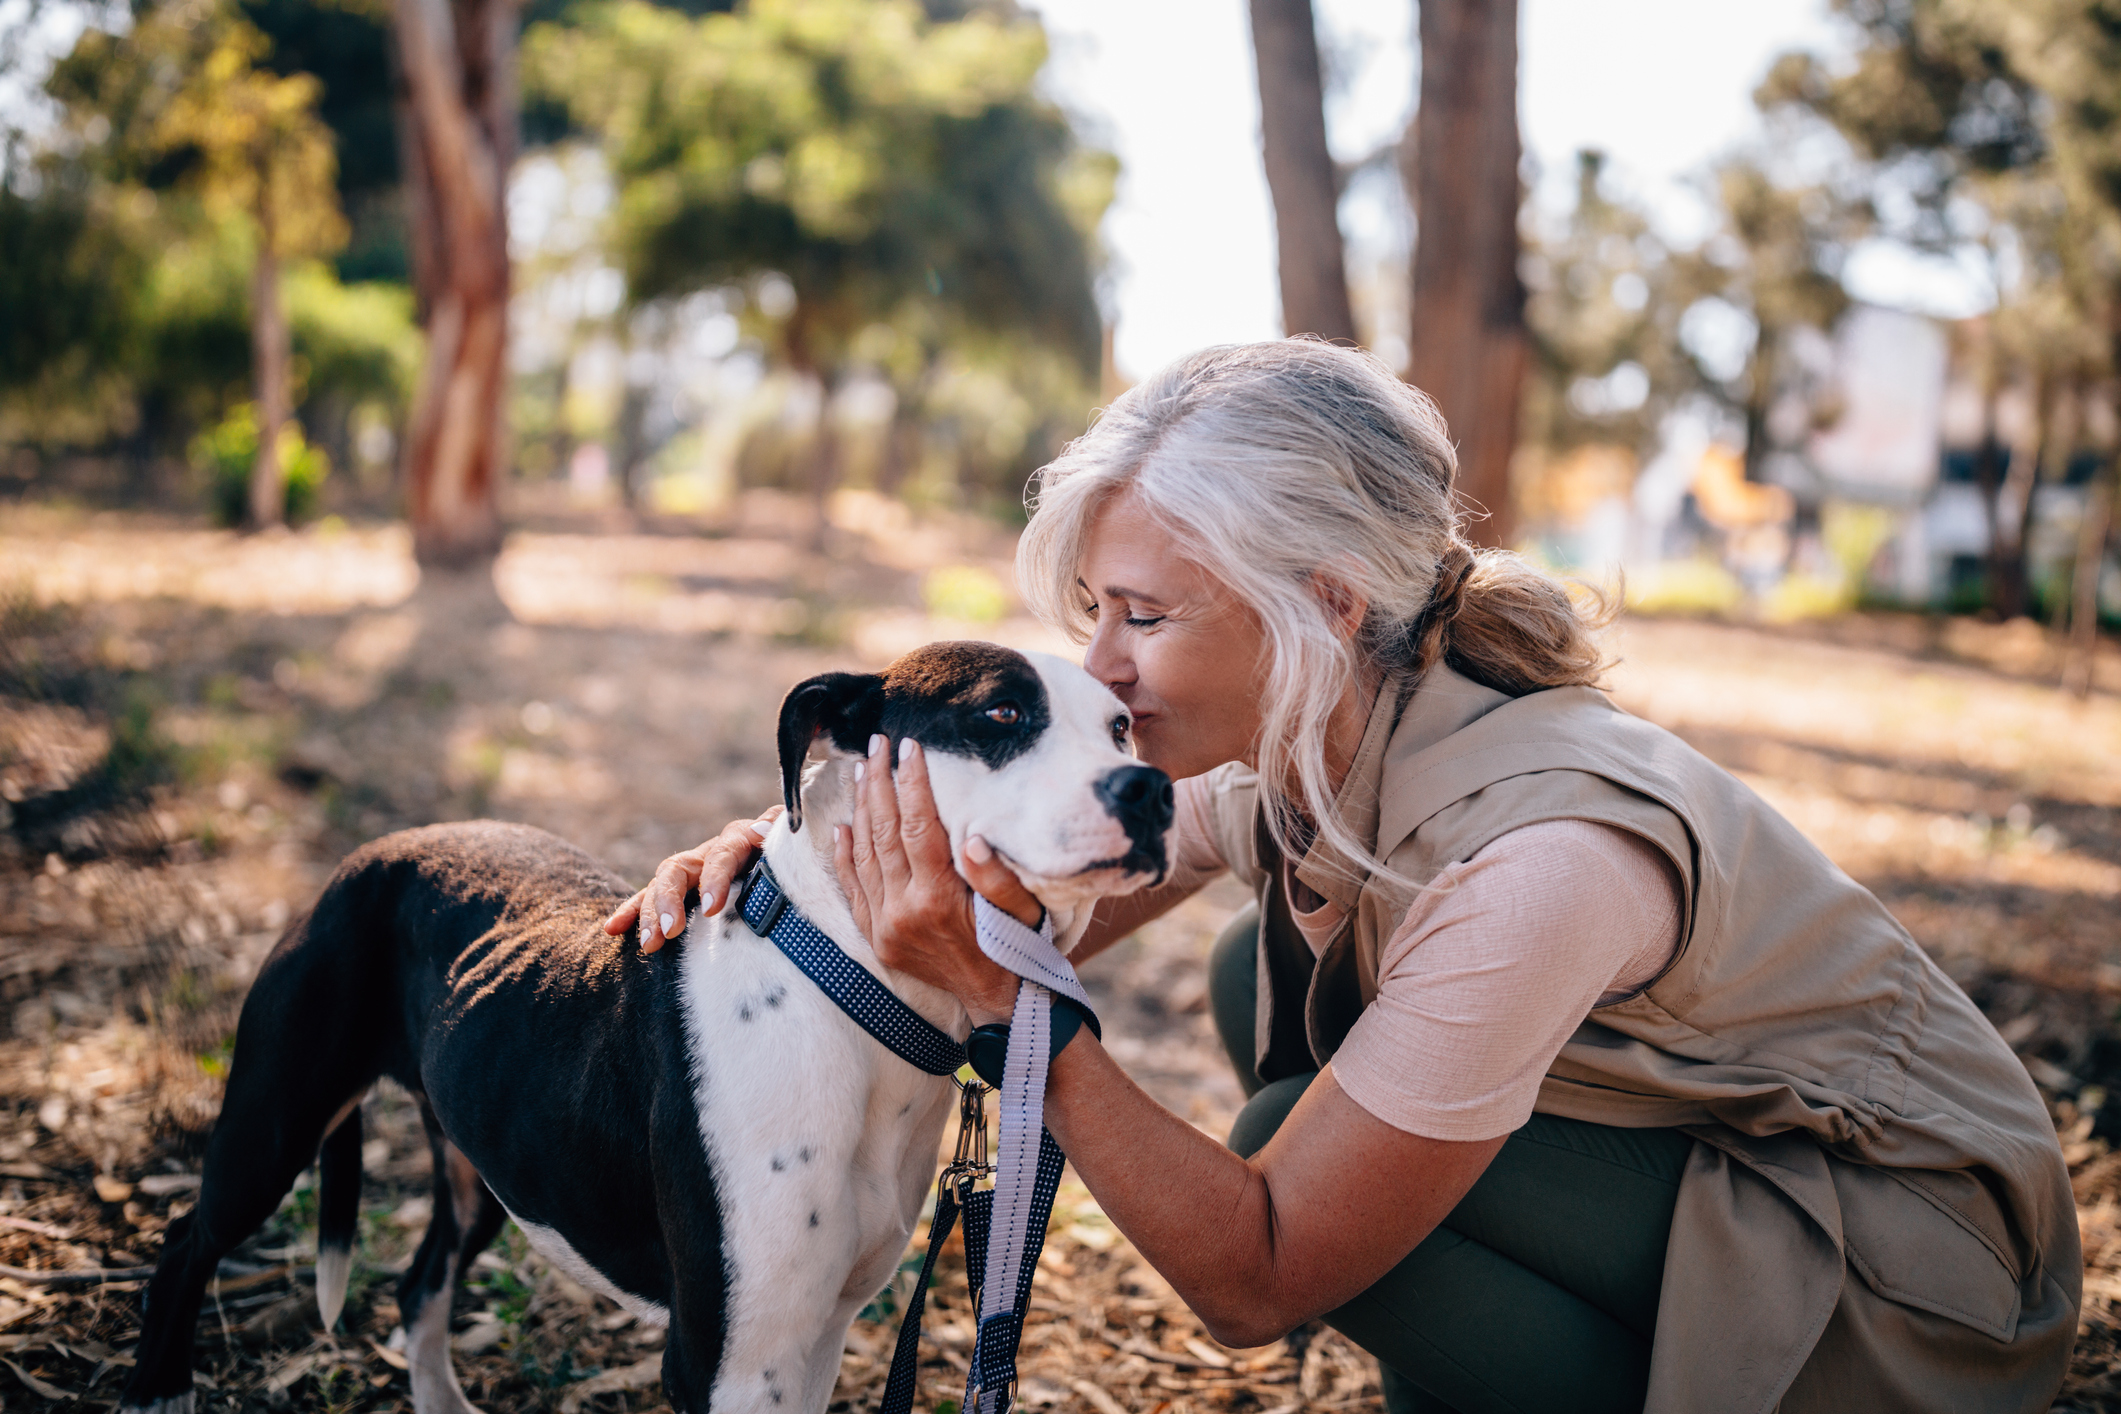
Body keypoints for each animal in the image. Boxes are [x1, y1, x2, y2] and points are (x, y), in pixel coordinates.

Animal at [120, 644, 1179, 1414]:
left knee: (420, 1282)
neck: (848, 988)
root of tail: (382, 847)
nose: (1153, 789)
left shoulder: (813, 1341)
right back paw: (158, 1393)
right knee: (185, 1242)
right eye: (999, 716)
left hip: (486, 1162)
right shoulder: (734, 1364)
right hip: (274, 1123)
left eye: (1121, 725)